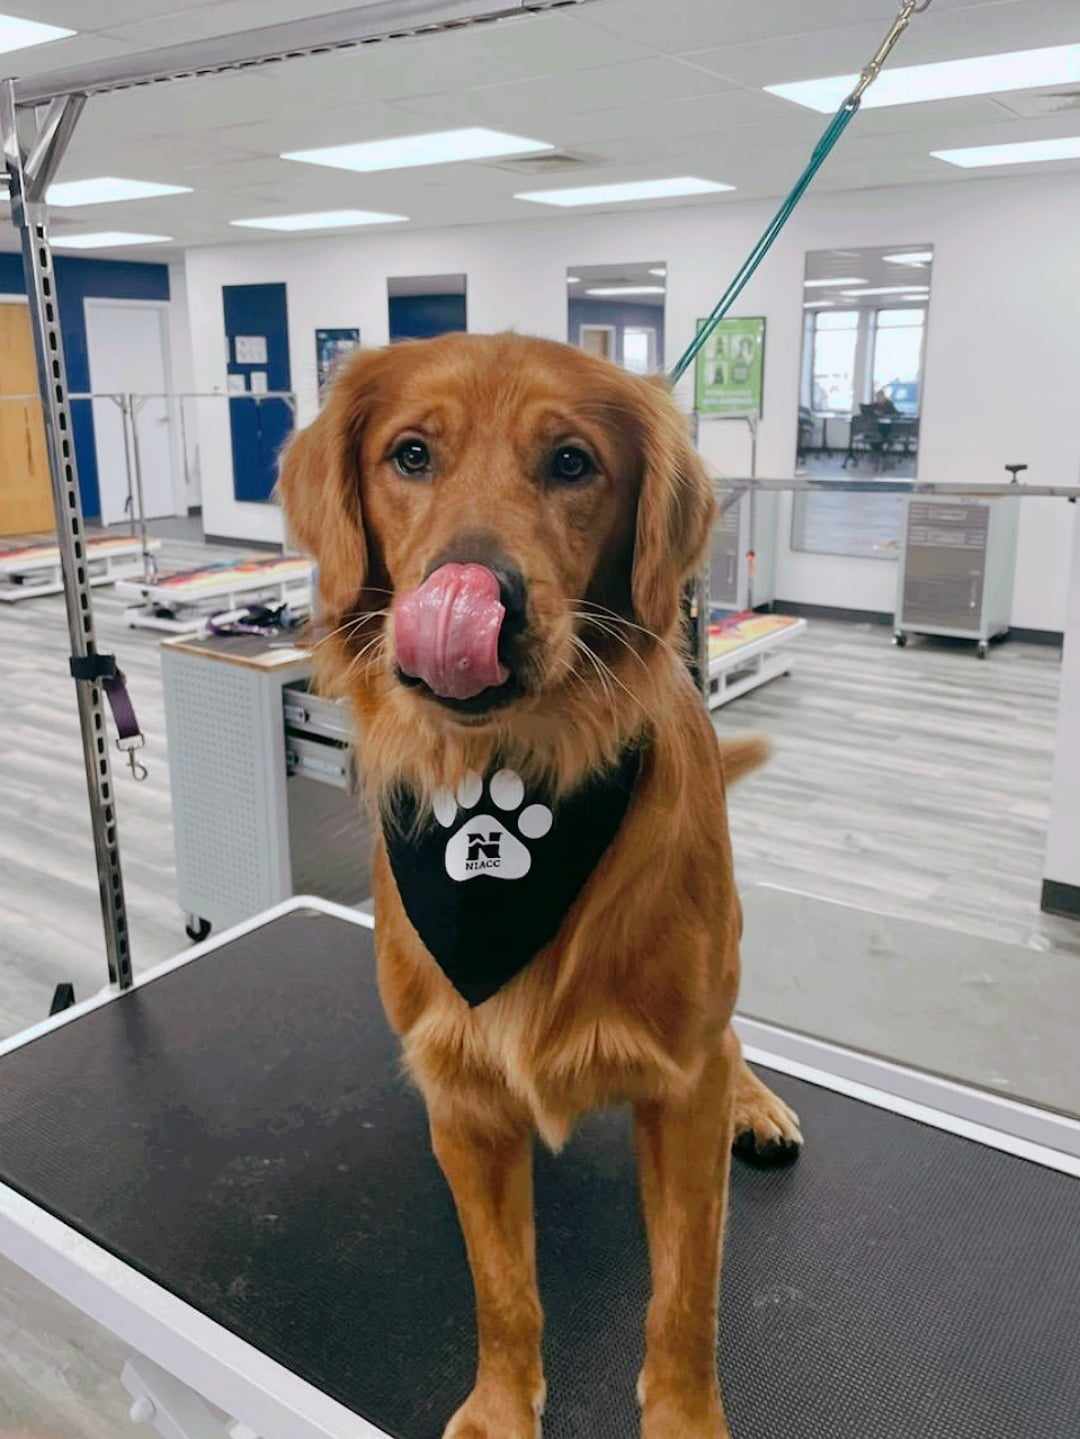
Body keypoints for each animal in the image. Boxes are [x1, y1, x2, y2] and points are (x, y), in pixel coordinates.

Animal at [278, 330, 805, 1433]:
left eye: (572, 463)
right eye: (410, 454)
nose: (476, 595)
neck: (517, 772)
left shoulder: (680, 1087)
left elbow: (685, 1294)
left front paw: (685, 1419)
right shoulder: (465, 1099)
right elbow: (503, 1290)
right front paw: (500, 1405)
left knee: (738, 1041)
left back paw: (759, 1103)